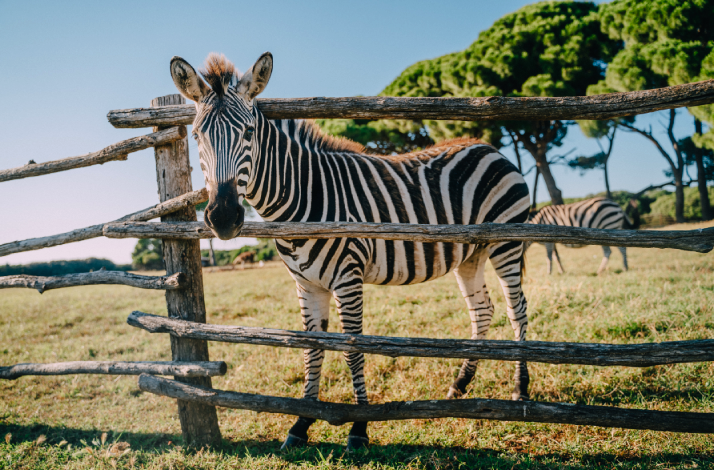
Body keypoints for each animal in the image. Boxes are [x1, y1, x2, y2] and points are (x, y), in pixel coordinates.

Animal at [169, 52, 531, 450]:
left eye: (248, 132)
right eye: (197, 135)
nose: (223, 217)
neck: (301, 199)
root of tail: (487, 146)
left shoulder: (348, 277)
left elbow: (353, 349)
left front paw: (359, 428)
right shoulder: (306, 285)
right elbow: (312, 350)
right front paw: (301, 424)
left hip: (506, 243)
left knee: (516, 310)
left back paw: (520, 390)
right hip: (471, 253)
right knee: (482, 311)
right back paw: (460, 384)